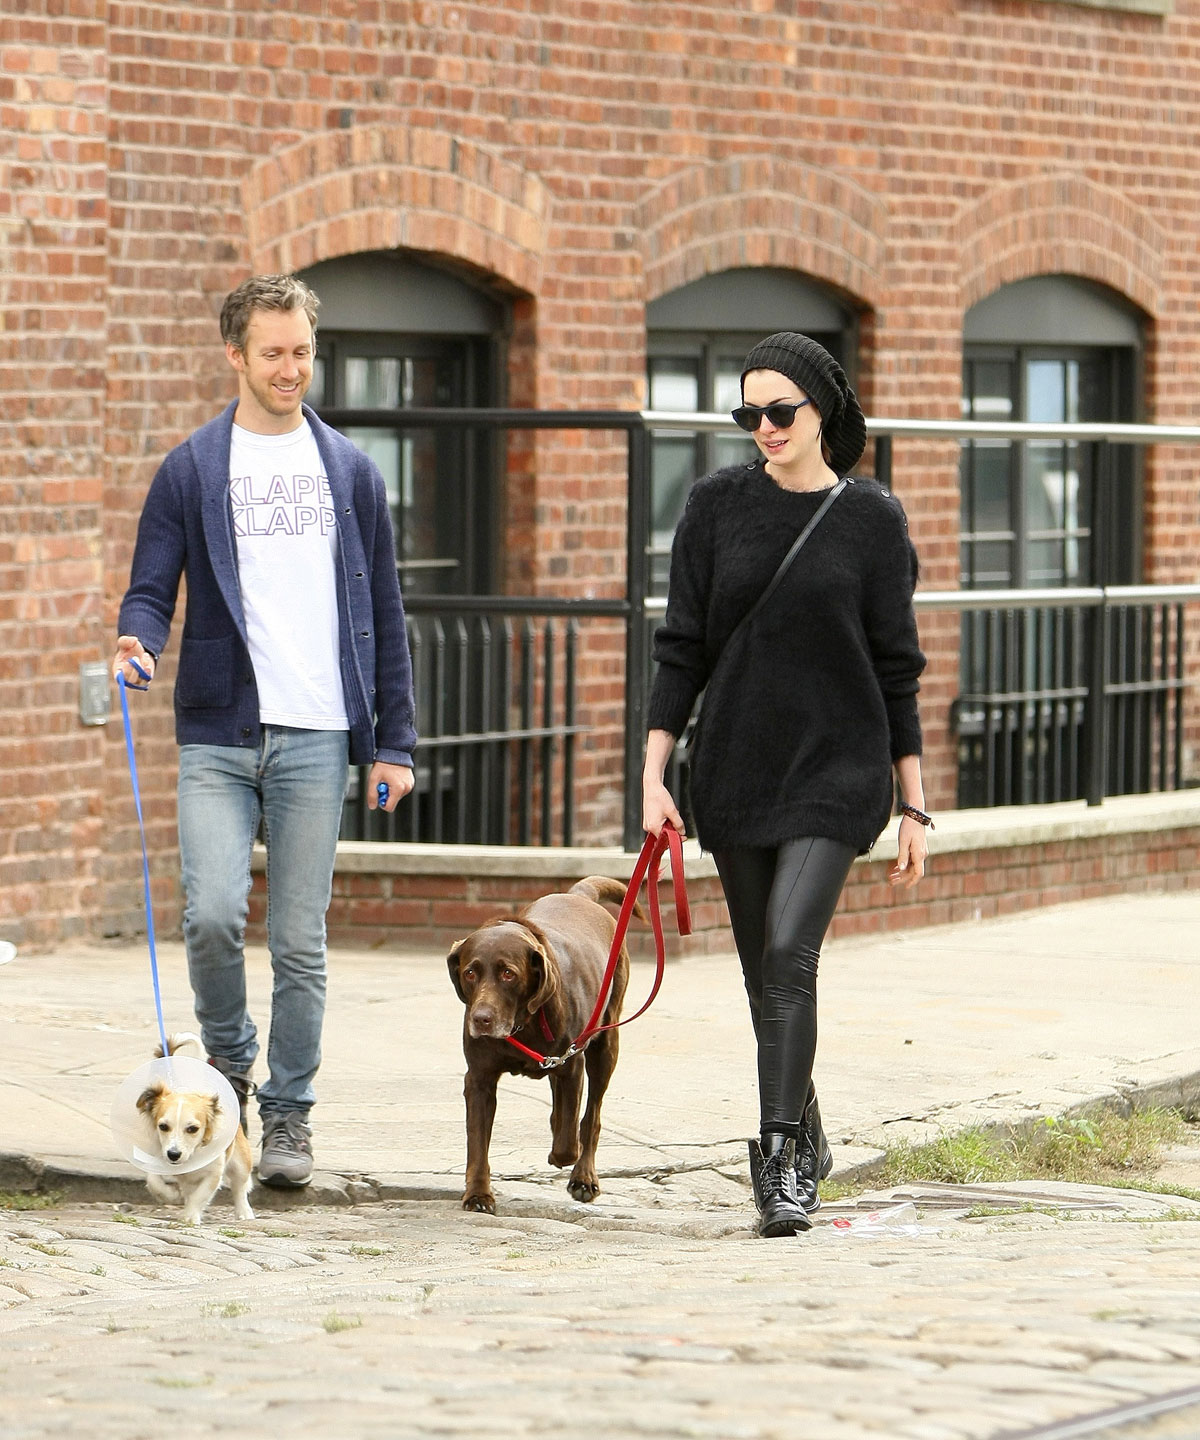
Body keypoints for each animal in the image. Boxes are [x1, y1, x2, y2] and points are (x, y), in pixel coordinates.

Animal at [136, 1036, 253, 1226]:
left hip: (240, 1162)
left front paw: (190, 1216)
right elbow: (153, 1181)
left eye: (193, 1129)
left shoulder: (213, 1173)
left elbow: (201, 1195)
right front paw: (171, 1195)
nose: (173, 1154)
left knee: (240, 1187)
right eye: (163, 1126)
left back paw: (244, 1212)